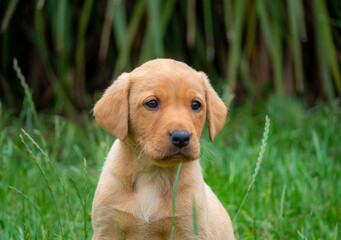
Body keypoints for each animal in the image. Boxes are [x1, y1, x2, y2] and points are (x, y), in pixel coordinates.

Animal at [90, 58, 234, 240]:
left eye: (196, 104)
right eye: (152, 103)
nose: (181, 137)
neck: (153, 174)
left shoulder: (189, 228)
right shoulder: (107, 228)